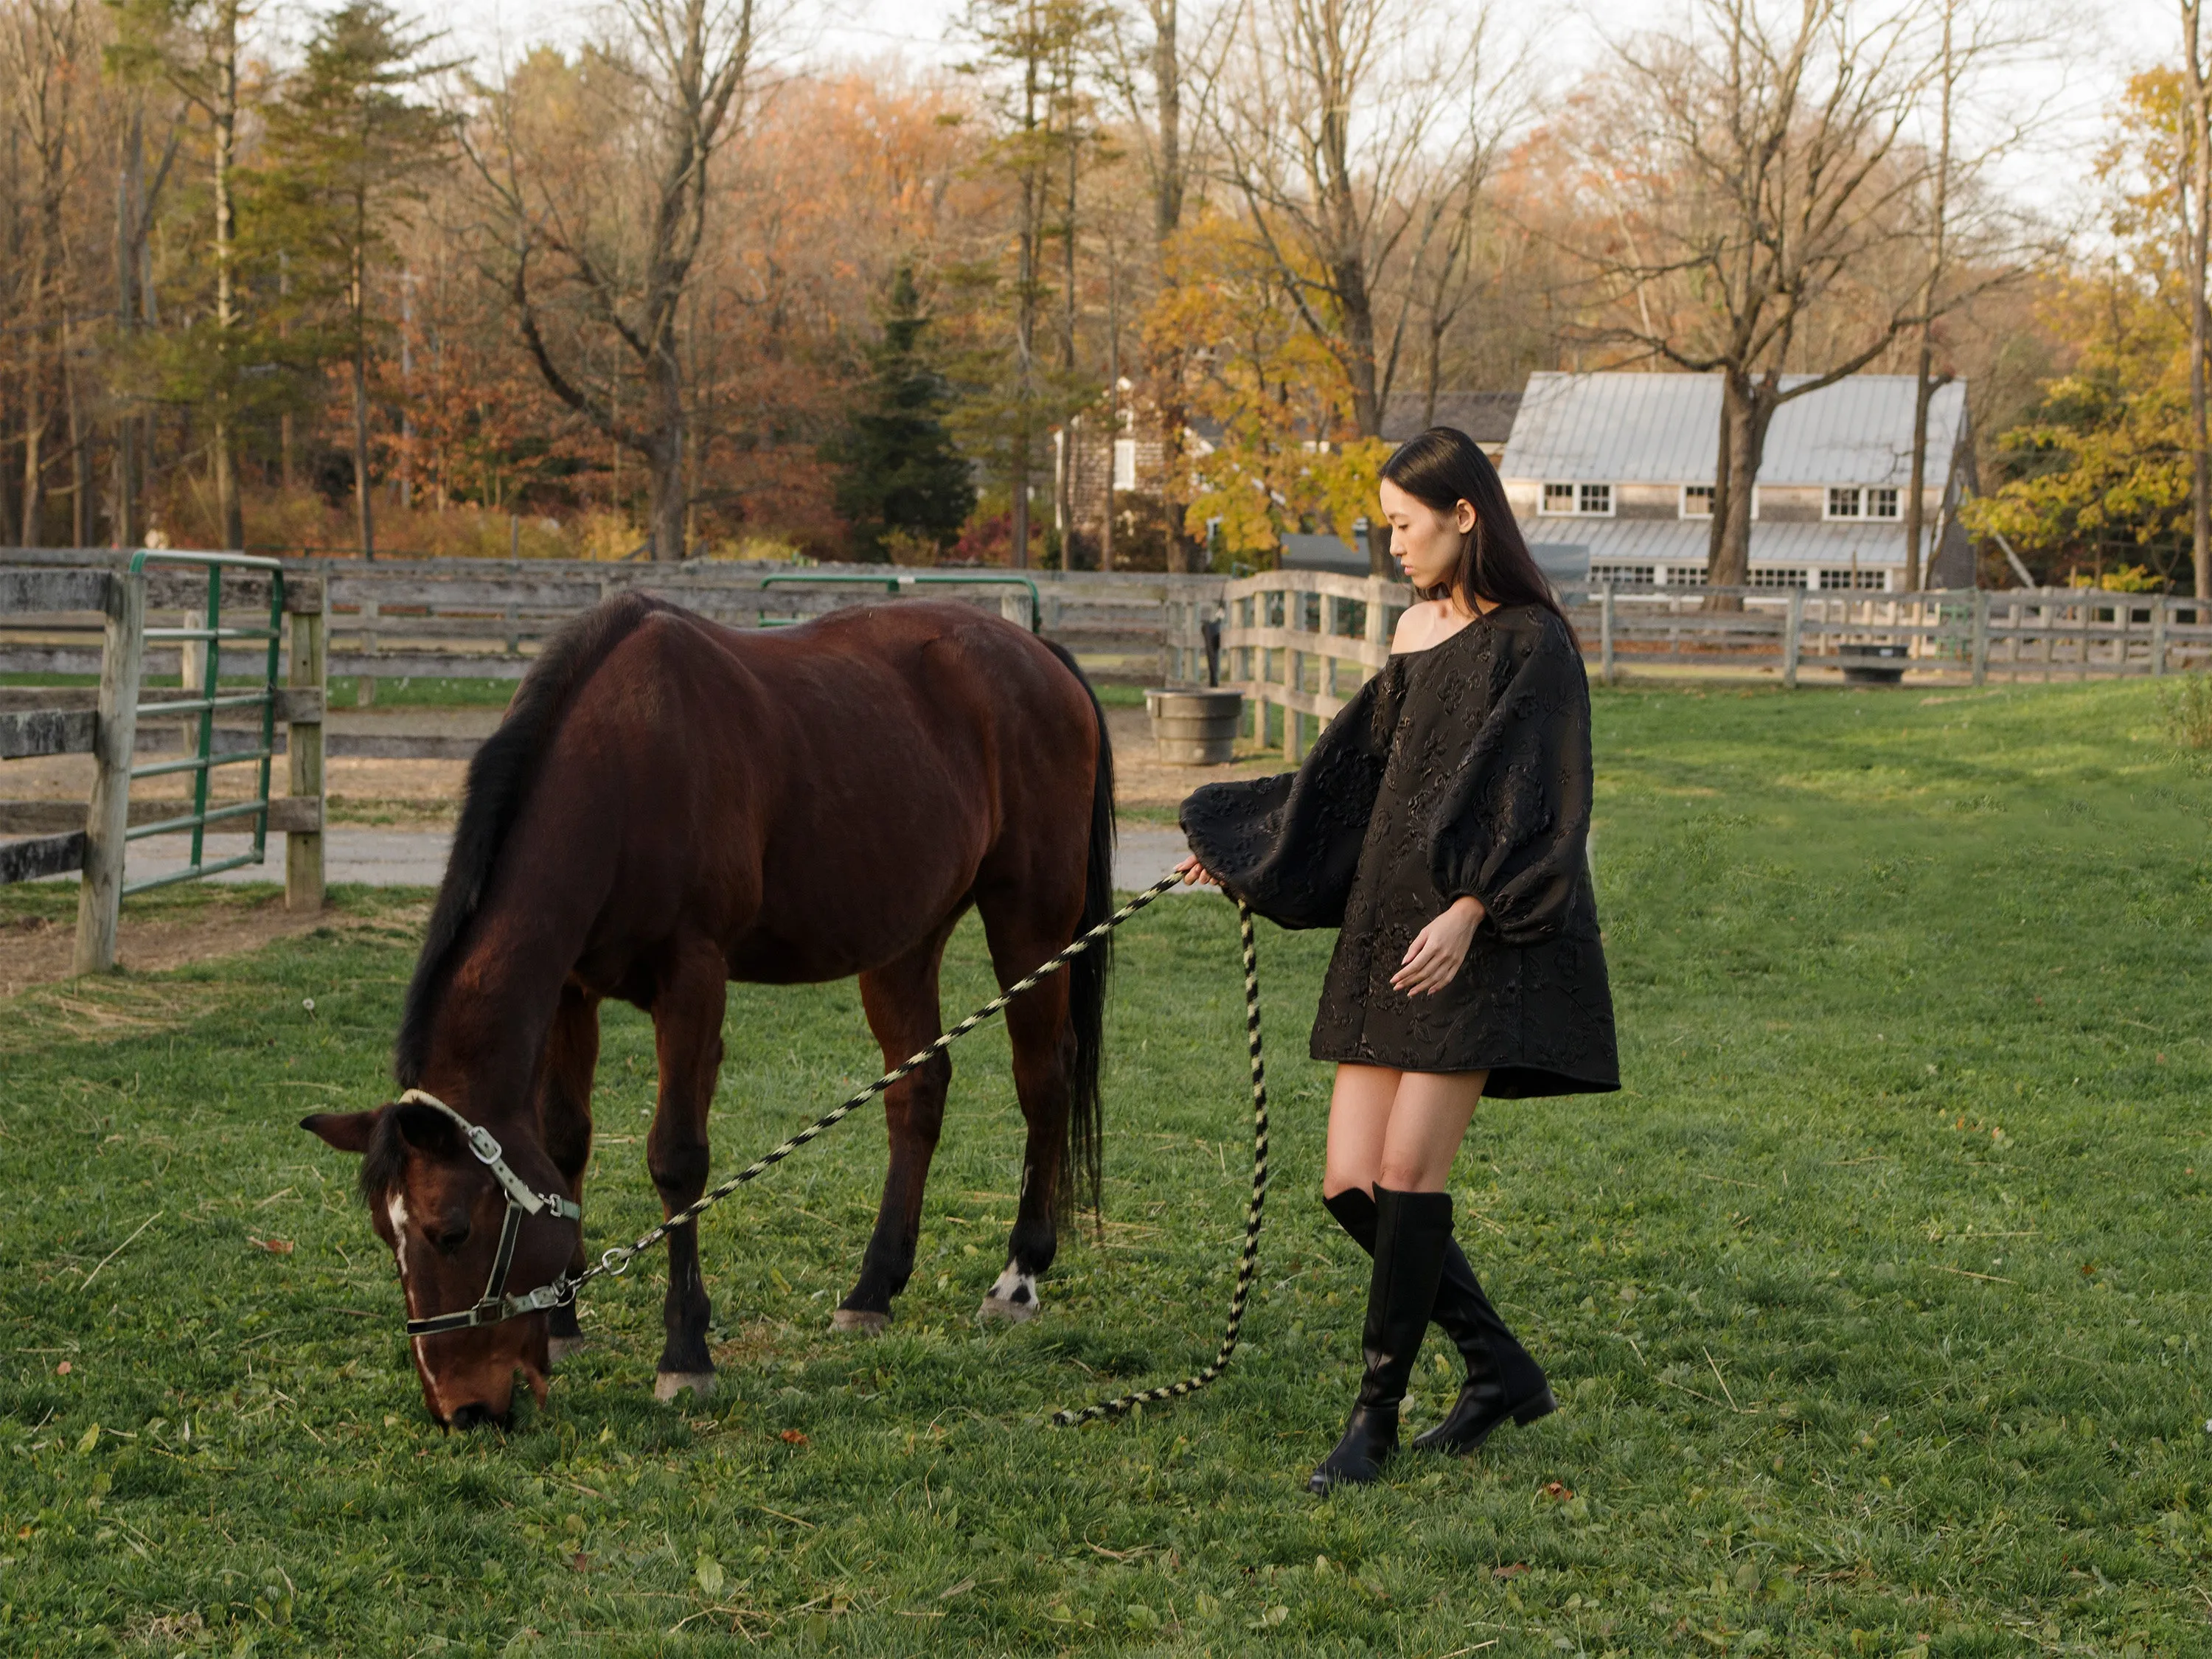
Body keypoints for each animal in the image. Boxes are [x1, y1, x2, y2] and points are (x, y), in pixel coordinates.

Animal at [303, 597, 1115, 1433]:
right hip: (904, 941)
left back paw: (1019, 1275)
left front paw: (685, 1353)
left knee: (1043, 1082)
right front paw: (563, 1322)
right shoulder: (570, 992)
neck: (622, 767)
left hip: (1030, 919)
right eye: (386, 1236)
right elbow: (564, 1144)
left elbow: (678, 1159)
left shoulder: (693, 982)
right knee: (918, 1092)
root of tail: (1041, 656)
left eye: (451, 1231)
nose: (459, 1410)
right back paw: (873, 1289)